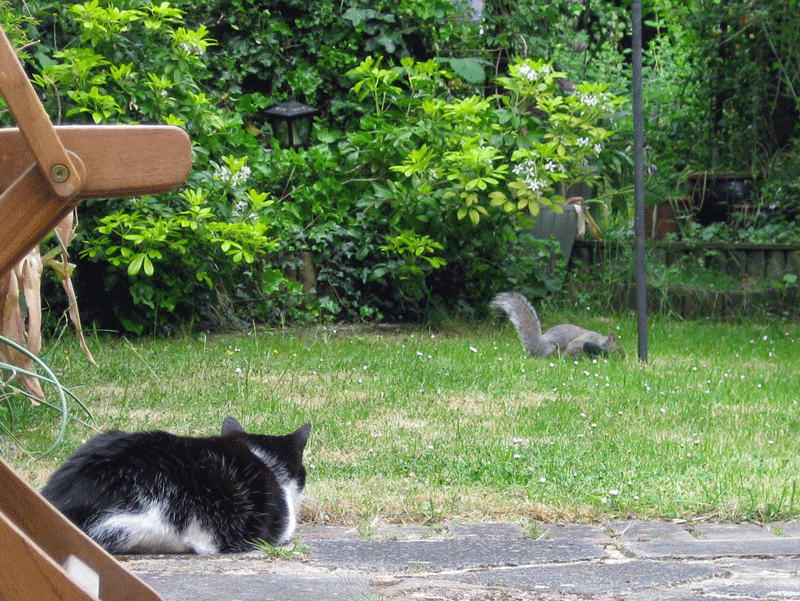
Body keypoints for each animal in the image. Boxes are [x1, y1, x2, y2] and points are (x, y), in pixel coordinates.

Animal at [488, 292, 624, 358]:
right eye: (618, 349)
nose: (623, 358)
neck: (601, 341)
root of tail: (535, 348)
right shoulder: (583, 342)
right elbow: (571, 349)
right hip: (550, 348)